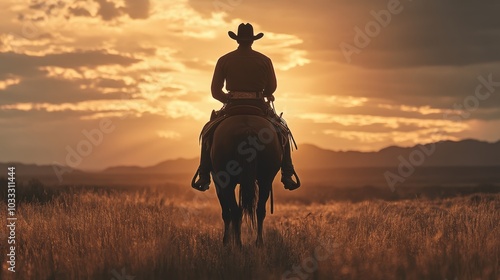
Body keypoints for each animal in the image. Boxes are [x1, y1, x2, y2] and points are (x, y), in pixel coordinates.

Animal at [210, 115, 282, 246]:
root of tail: (246, 129)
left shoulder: (218, 182)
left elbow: (226, 213)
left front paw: (226, 242)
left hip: (227, 182)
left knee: (235, 211)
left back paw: (238, 244)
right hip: (266, 180)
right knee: (259, 210)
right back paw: (259, 243)